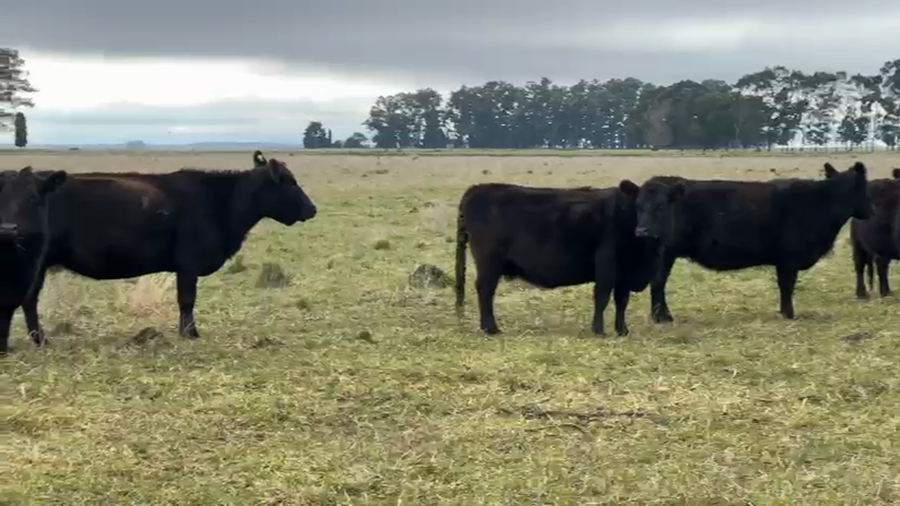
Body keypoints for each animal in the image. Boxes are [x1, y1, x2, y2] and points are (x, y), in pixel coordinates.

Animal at [20, 151, 317, 347]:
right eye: (290, 181)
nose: (312, 209)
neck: (220, 201)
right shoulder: (188, 264)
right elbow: (187, 300)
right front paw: (190, 334)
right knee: (29, 299)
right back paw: (40, 339)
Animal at [454, 181, 657, 337]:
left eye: (660, 207)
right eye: (639, 205)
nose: (644, 230)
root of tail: (477, 189)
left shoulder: (625, 274)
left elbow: (621, 301)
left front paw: (622, 331)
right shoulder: (607, 265)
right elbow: (602, 297)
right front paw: (599, 330)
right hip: (489, 263)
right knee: (485, 291)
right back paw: (490, 329)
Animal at [634, 161, 873, 322]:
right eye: (865, 188)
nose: (872, 211)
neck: (820, 202)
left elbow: (784, 286)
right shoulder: (789, 259)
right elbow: (787, 286)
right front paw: (789, 314)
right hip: (665, 252)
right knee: (658, 282)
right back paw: (662, 317)